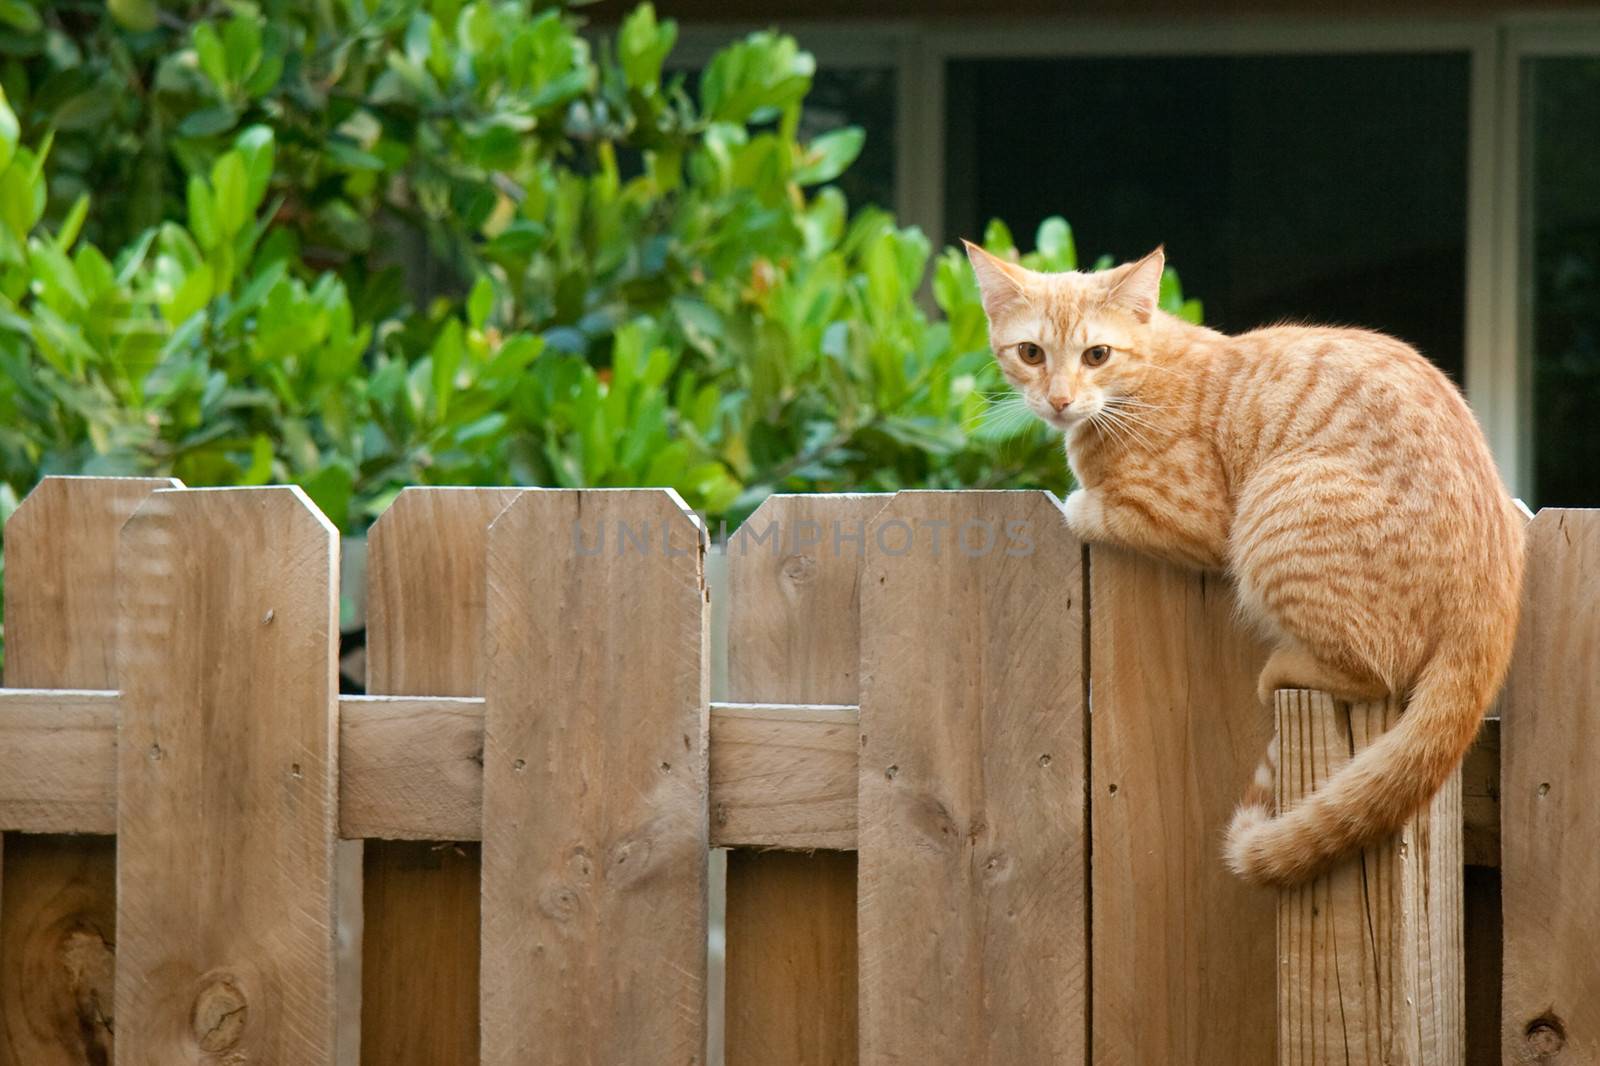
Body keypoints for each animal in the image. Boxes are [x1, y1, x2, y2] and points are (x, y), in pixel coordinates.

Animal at [960, 238, 1523, 877]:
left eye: (1096, 354)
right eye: (1030, 353)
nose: (1058, 400)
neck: (1148, 373)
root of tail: (1493, 599)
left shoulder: (1189, 515)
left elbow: (1089, 508)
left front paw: (1079, 502)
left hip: (1276, 512)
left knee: (1378, 669)